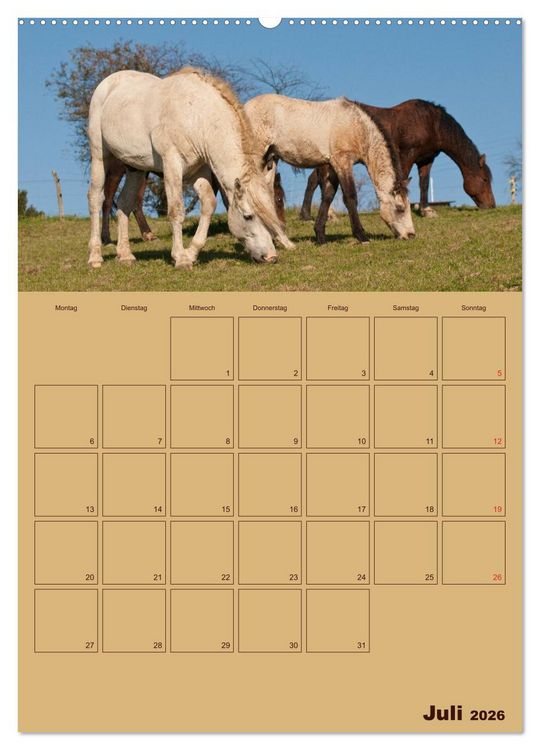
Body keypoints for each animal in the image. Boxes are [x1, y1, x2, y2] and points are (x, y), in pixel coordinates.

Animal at [87, 67, 293, 269]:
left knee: (125, 202)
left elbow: (209, 204)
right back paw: (96, 256)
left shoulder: (199, 171)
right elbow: (176, 210)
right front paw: (181, 258)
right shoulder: (172, 165)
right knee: (97, 198)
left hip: (135, 167)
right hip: (100, 156)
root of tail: (110, 81)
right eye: (248, 216)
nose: (270, 257)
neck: (196, 117)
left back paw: (125, 255)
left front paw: (191, 253)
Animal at [244, 94, 415, 244]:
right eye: (400, 208)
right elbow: (350, 197)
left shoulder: (332, 165)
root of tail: (245, 107)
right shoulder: (343, 162)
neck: (357, 126)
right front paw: (361, 236)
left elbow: (328, 196)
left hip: (271, 160)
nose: (411, 235)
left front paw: (320, 236)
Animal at [299, 99, 495, 222]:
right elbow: (403, 179)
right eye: (485, 179)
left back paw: (307, 215)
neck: (431, 123)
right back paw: (328, 214)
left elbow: (424, 184)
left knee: (314, 180)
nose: (492, 206)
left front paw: (426, 210)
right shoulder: (406, 154)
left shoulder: (426, 159)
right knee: (321, 181)